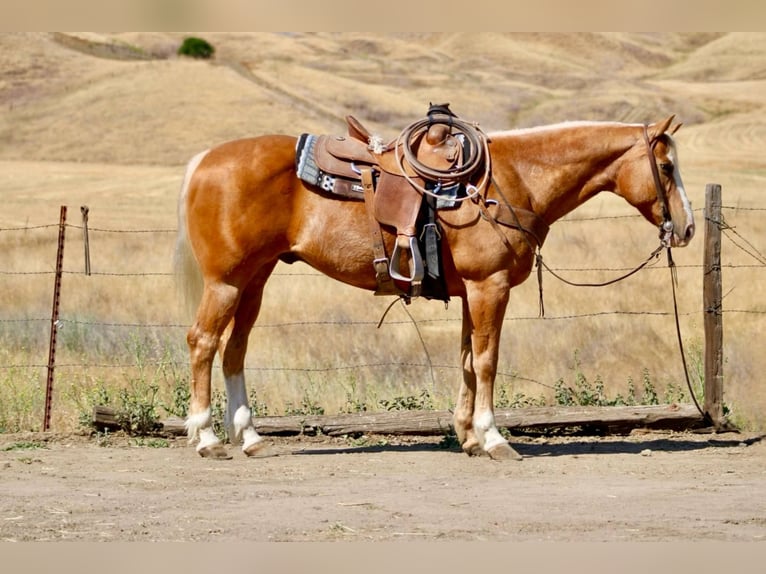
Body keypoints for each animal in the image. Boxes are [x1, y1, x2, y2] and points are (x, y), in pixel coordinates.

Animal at [173, 114, 695, 461]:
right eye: (667, 168)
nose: (687, 228)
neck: (513, 181)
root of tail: (204, 161)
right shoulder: (490, 287)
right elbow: (486, 361)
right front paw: (493, 438)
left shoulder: (472, 293)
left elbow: (466, 360)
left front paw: (468, 436)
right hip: (225, 282)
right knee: (203, 343)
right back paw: (207, 438)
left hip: (254, 281)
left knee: (234, 350)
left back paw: (251, 438)